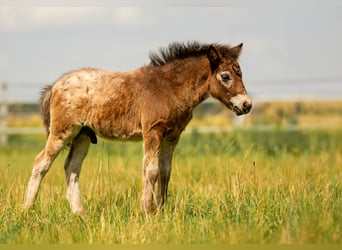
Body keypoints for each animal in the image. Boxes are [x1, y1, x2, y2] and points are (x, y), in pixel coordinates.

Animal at [23, 41, 251, 213]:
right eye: (225, 76)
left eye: (241, 74)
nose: (246, 105)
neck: (170, 88)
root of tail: (55, 85)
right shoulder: (153, 131)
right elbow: (150, 170)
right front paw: (146, 211)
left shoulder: (172, 136)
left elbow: (165, 171)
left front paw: (161, 211)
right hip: (62, 131)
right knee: (41, 162)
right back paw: (27, 210)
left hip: (83, 135)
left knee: (72, 168)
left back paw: (80, 214)